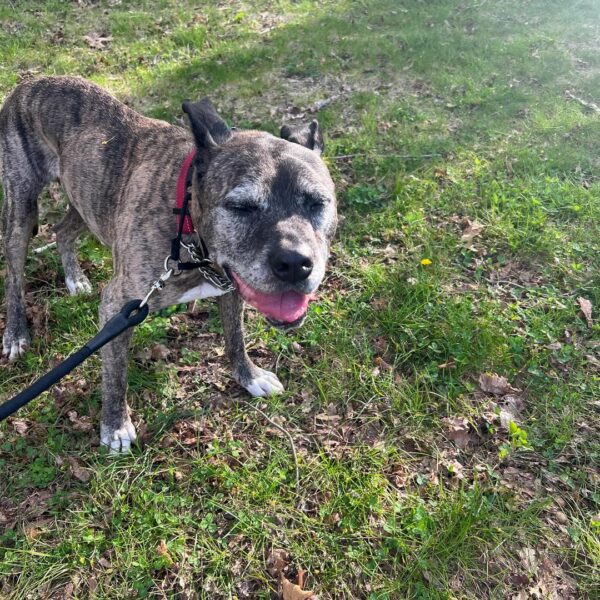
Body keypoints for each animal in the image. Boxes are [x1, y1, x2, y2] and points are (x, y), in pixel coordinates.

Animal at [0, 76, 338, 450]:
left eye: (317, 202)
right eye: (241, 207)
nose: (295, 264)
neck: (187, 225)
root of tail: (30, 81)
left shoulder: (230, 287)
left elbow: (235, 338)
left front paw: (248, 376)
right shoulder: (118, 307)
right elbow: (115, 374)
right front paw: (115, 425)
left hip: (85, 199)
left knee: (62, 231)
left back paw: (74, 279)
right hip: (21, 208)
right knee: (13, 273)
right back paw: (15, 333)